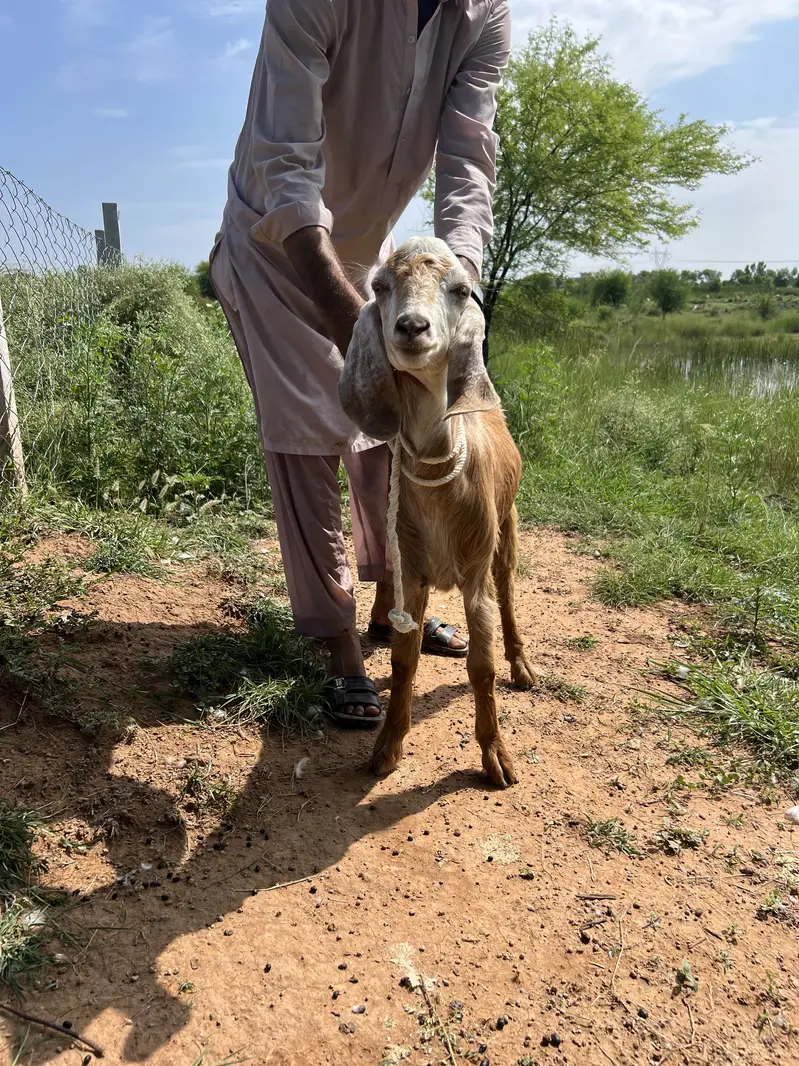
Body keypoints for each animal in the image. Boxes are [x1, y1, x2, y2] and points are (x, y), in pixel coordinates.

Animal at [339, 236, 535, 788]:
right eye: (380, 285)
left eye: (461, 289)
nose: (412, 327)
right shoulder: (412, 568)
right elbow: (404, 661)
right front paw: (387, 746)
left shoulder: (474, 572)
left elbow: (481, 667)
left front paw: (497, 757)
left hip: (507, 530)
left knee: (509, 597)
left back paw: (522, 668)